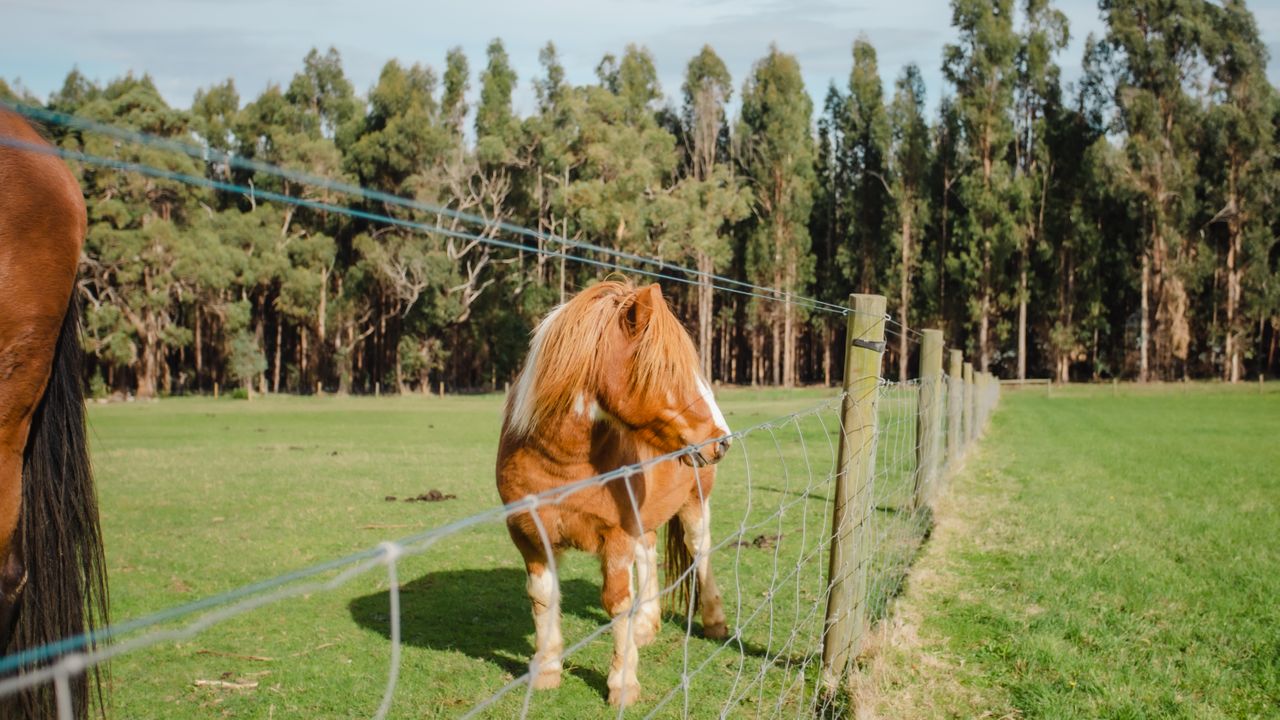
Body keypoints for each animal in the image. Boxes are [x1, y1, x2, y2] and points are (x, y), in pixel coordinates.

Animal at [494, 281, 732, 707]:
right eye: (668, 369)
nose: (721, 441)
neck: (562, 464)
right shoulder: (528, 534)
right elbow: (542, 596)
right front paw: (546, 669)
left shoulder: (616, 536)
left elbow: (617, 602)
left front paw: (622, 684)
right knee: (649, 554)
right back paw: (646, 626)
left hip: (694, 505)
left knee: (700, 551)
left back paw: (714, 622)